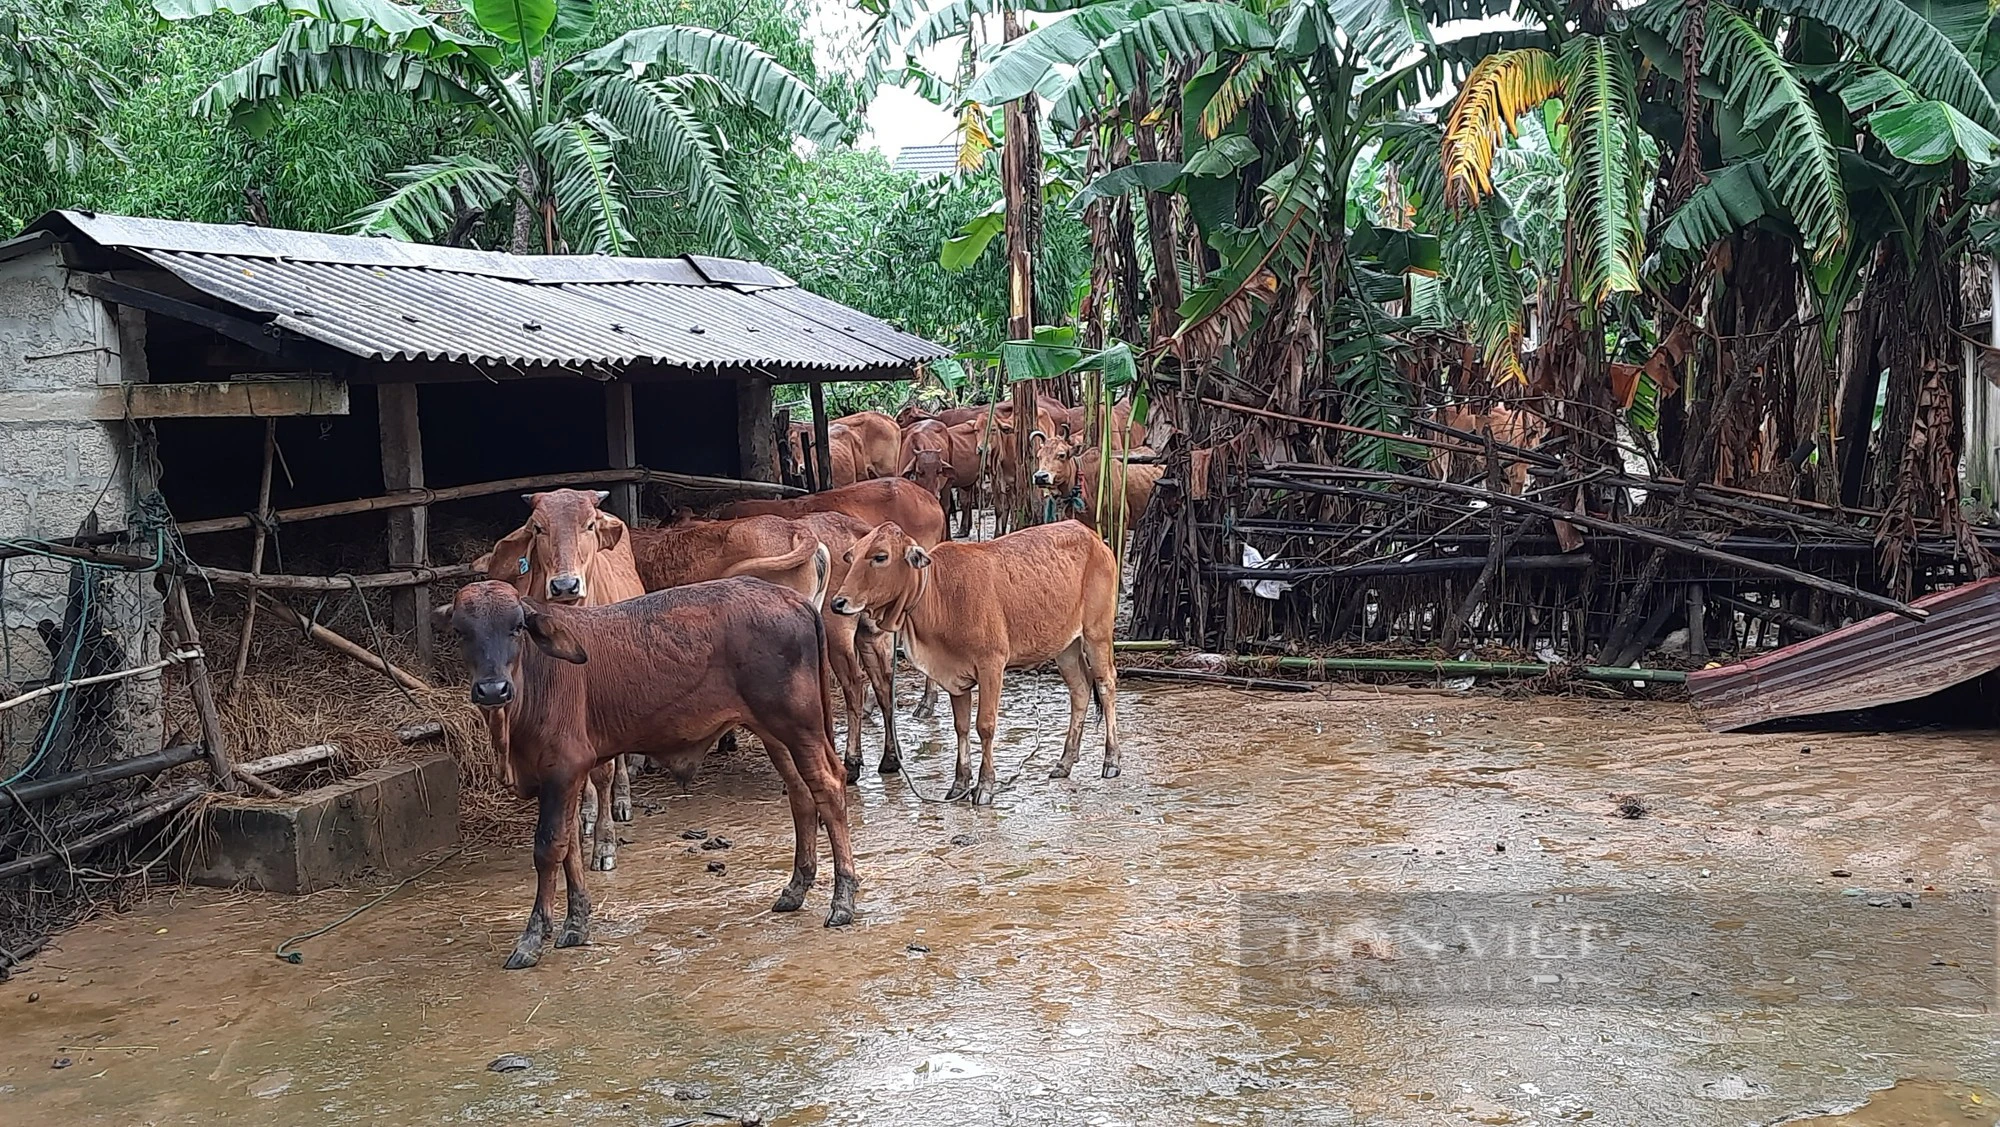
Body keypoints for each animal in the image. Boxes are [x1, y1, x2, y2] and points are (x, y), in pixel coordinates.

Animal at [442, 579, 856, 967]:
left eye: (516, 627)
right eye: (461, 631)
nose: (492, 689)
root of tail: (792, 598)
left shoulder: (563, 768)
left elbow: (549, 849)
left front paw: (532, 938)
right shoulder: (559, 780)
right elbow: (569, 846)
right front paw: (575, 923)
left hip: (800, 726)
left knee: (828, 786)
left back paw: (843, 900)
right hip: (774, 732)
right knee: (801, 795)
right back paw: (796, 888)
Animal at [820, 523, 1120, 807]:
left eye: (880, 556)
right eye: (851, 556)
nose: (838, 602)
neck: (940, 595)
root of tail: (1093, 537)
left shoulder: (991, 665)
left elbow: (984, 725)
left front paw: (985, 786)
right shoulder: (954, 676)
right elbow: (961, 727)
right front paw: (960, 783)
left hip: (1097, 633)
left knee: (1106, 686)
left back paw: (1111, 760)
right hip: (1066, 646)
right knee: (1080, 689)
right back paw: (1064, 762)